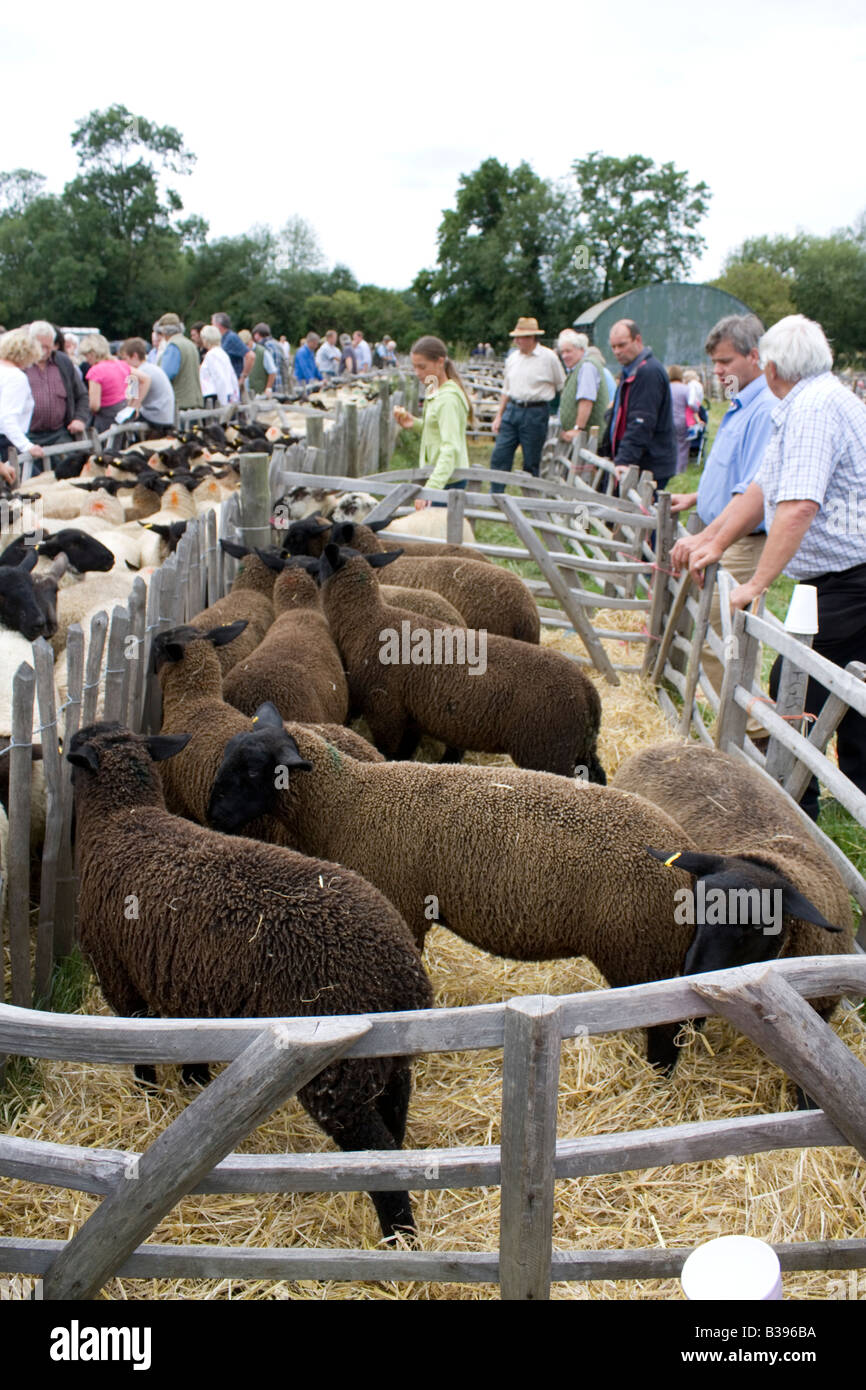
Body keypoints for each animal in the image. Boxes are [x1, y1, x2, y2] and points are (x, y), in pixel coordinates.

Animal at [67, 717, 433, 1239]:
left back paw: (399, 1237)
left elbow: (140, 1051)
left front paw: (149, 1097)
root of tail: (402, 973)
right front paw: (196, 1084)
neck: (122, 818)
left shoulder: (121, 978)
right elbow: (189, 1046)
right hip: (387, 1063)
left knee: (376, 1152)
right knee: (394, 1126)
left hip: (336, 1076)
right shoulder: (186, 984)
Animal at [311, 542, 603, 778]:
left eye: (322, 560)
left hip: (548, 751)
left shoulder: (385, 711)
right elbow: (404, 754)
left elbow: (388, 753)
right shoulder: (411, 717)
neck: (365, 620)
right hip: (579, 747)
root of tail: (588, 691)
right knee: (597, 775)